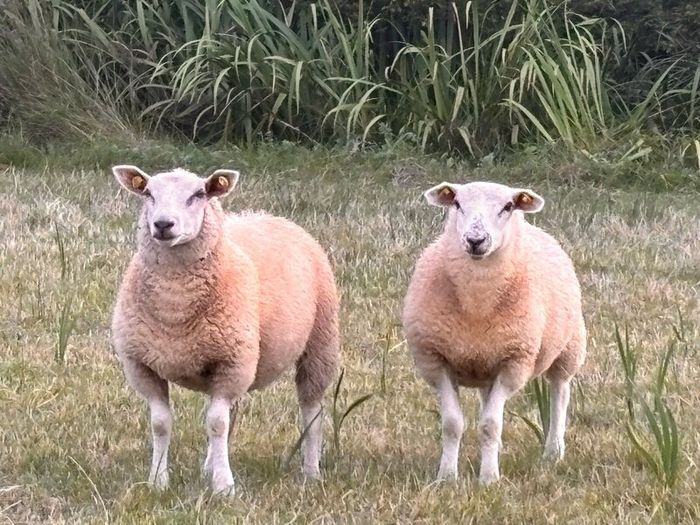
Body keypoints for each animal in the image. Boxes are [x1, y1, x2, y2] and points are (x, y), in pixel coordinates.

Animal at [111, 165, 339, 494]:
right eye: (149, 193)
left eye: (198, 194)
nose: (163, 224)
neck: (174, 311)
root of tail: (268, 215)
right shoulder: (142, 365)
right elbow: (162, 423)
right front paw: (158, 481)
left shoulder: (231, 363)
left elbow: (217, 423)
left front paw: (223, 487)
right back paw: (210, 464)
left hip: (319, 343)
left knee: (312, 412)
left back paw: (311, 472)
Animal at [402, 181, 586, 485]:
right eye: (457, 204)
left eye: (508, 207)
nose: (475, 240)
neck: (477, 307)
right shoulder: (435, 360)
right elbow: (452, 424)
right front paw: (447, 477)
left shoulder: (514, 362)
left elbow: (490, 424)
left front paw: (488, 479)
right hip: (487, 365)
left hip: (569, 347)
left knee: (560, 392)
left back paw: (554, 451)